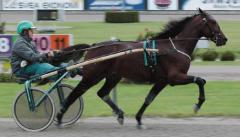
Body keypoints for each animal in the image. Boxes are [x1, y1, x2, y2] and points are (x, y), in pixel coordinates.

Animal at [55, 8, 227, 128]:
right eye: (213, 22)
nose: (224, 39)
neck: (174, 47)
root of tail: (93, 46)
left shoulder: (162, 81)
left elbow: (149, 99)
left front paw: (138, 119)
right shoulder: (175, 77)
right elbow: (200, 80)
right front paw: (197, 105)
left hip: (113, 76)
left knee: (102, 93)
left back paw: (119, 114)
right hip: (93, 75)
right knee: (76, 93)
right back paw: (59, 117)